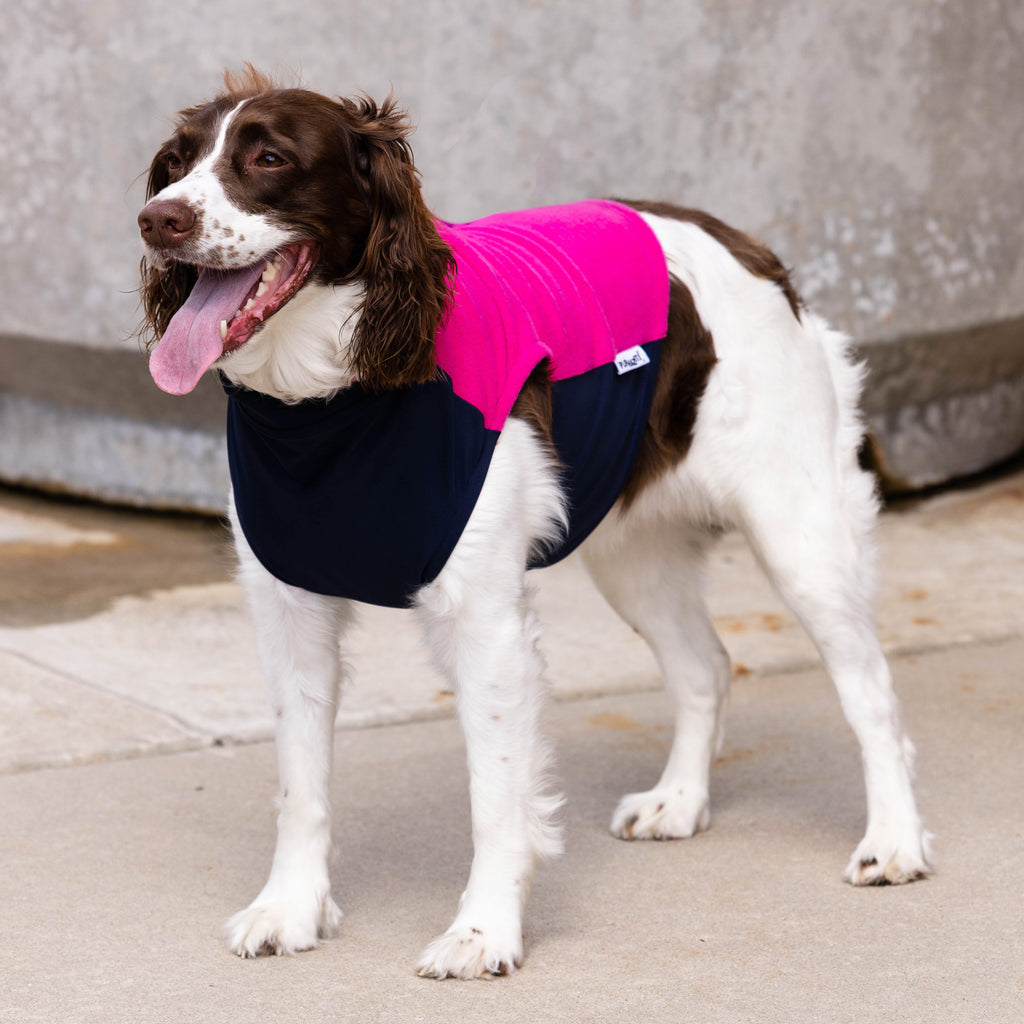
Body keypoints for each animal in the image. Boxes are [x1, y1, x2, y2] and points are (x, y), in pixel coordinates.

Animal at [138, 68, 937, 978]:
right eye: (176, 161)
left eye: (268, 158)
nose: (157, 218)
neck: (333, 400)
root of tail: (746, 245)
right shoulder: (289, 604)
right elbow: (299, 784)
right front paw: (290, 910)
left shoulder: (484, 616)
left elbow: (496, 793)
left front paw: (483, 931)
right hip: (633, 553)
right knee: (705, 666)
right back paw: (679, 801)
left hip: (800, 531)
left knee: (871, 691)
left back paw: (895, 842)